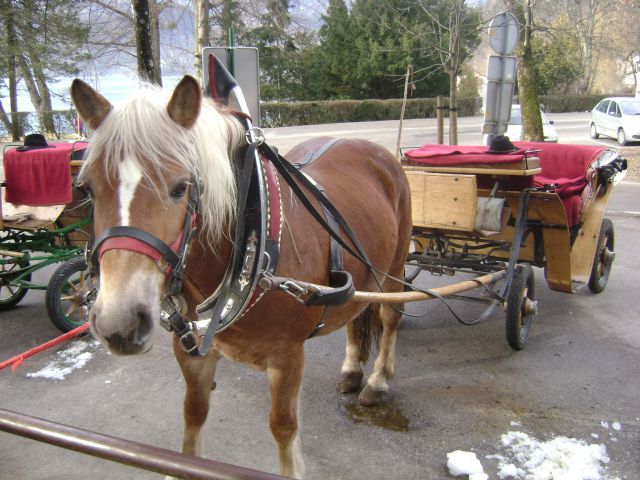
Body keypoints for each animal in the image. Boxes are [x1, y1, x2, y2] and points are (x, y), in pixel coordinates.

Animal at [70, 75, 410, 476]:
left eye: (180, 187)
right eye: (87, 189)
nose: (118, 322)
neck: (251, 242)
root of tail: (375, 149)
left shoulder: (286, 357)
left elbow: (283, 428)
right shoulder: (191, 352)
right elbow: (193, 416)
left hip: (394, 268)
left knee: (390, 315)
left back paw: (377, 380)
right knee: (356, 315)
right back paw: (352, 369)